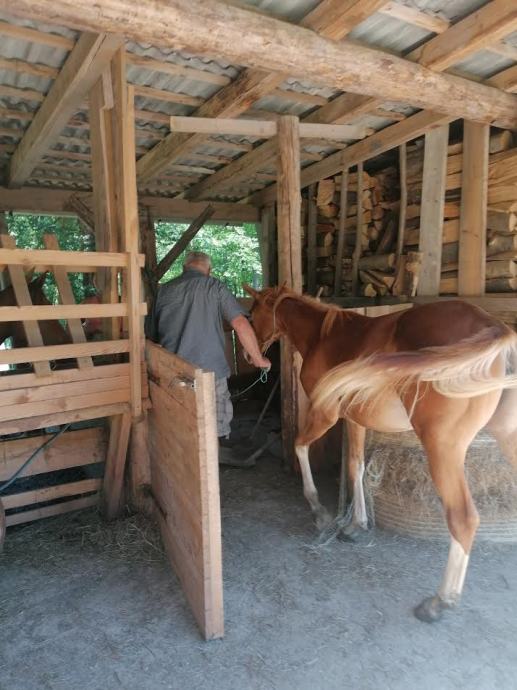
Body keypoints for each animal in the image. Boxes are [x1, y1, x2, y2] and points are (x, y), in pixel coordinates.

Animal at [244, 284, 516, 624]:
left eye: (251, 313)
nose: (250, 356)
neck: (324, 335)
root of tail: (494, 327)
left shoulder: (326, 414)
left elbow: (300, 446)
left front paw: (319, 511)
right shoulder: (354, 420)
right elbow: (355, 466)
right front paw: (355, 525)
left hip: (444, 448)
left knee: (463, 519)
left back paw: (440, 601)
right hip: (507, 437)